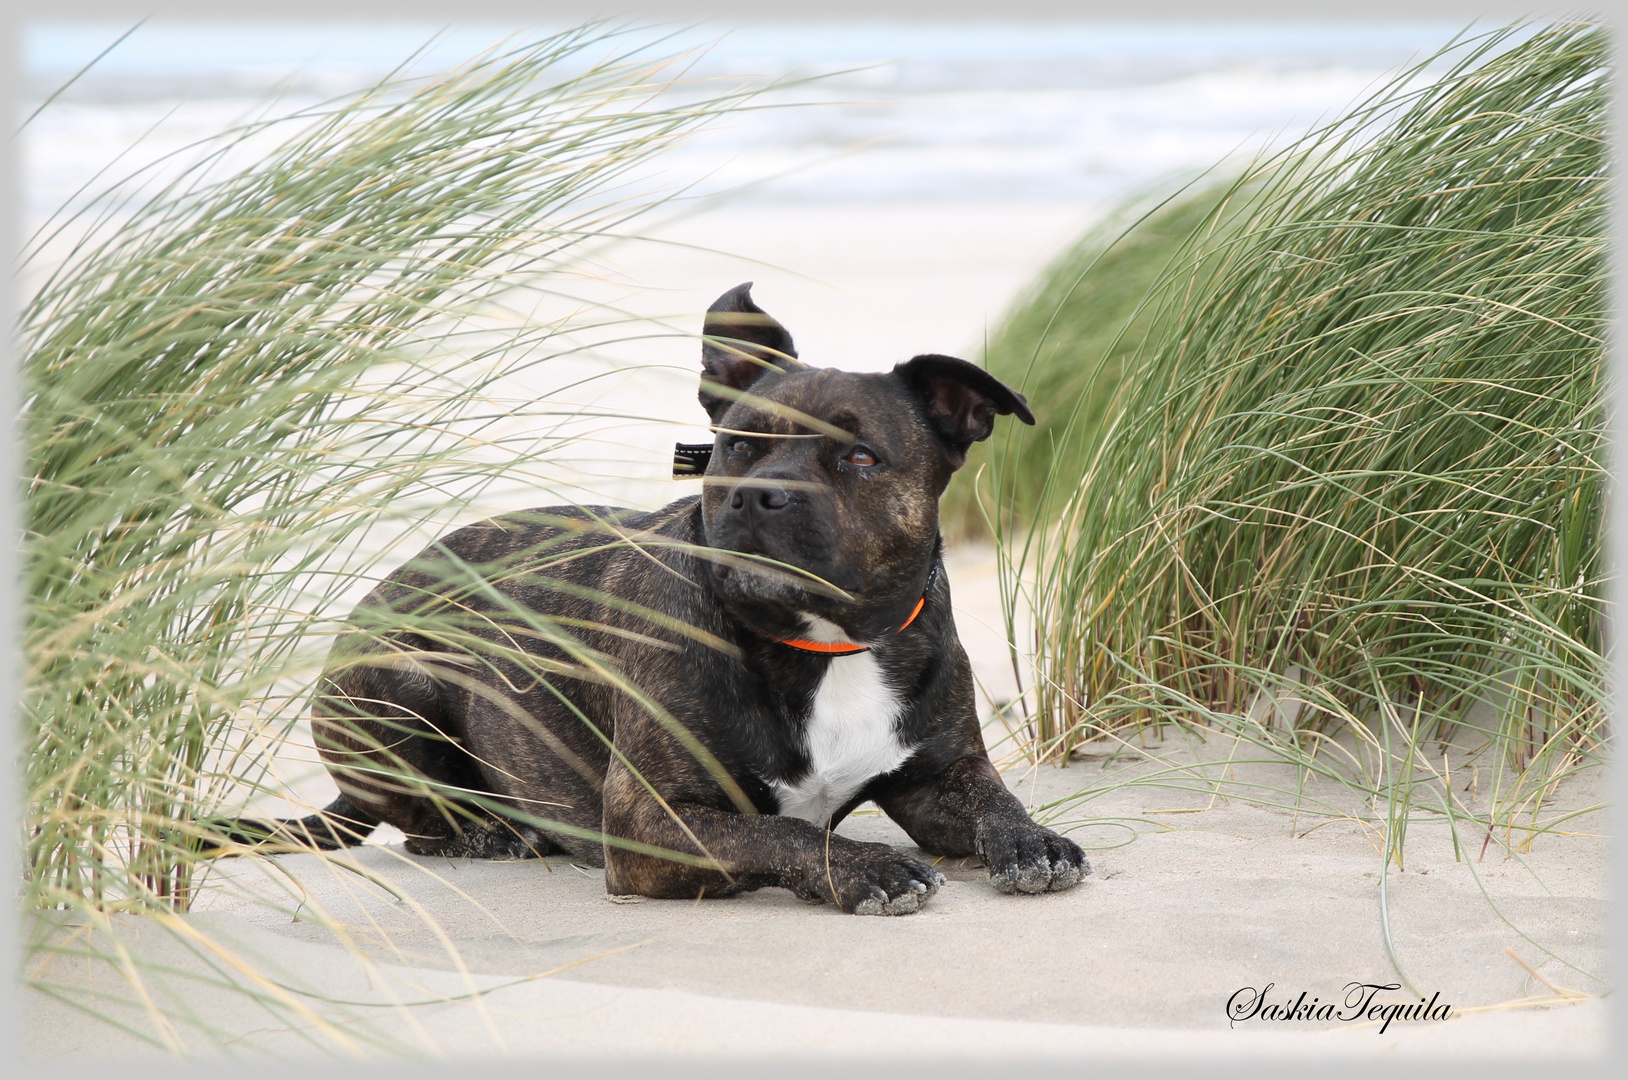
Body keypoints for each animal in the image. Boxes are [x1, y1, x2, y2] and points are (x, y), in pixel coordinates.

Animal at [257, 285, 1094, 912]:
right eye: (739, 445)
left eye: (860, 457)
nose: (759, 496)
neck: (825, 642)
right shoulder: (647, 822)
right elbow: (784, 833)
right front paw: (862, 866)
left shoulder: (934, 777)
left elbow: (993, 798)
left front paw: (1031, 838)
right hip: (403, 685)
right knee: (421, 825)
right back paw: (496, 833)